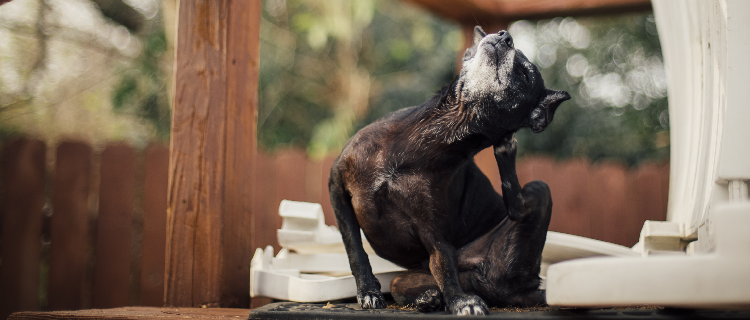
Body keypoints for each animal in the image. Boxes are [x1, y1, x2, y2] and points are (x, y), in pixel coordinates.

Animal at [328, 26, 568, 316]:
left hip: (537, 192)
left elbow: (443, 263)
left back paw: (506, 151)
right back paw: (429, 299)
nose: (504, 35)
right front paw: (369, 291)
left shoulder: (433, 232)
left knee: (519, 206)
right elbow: (355, 249)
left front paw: (459, 301)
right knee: (402, 285)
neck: (442, 129)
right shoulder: (338, 189)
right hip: (404, 278)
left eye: (525, 74)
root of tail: (523, 289)